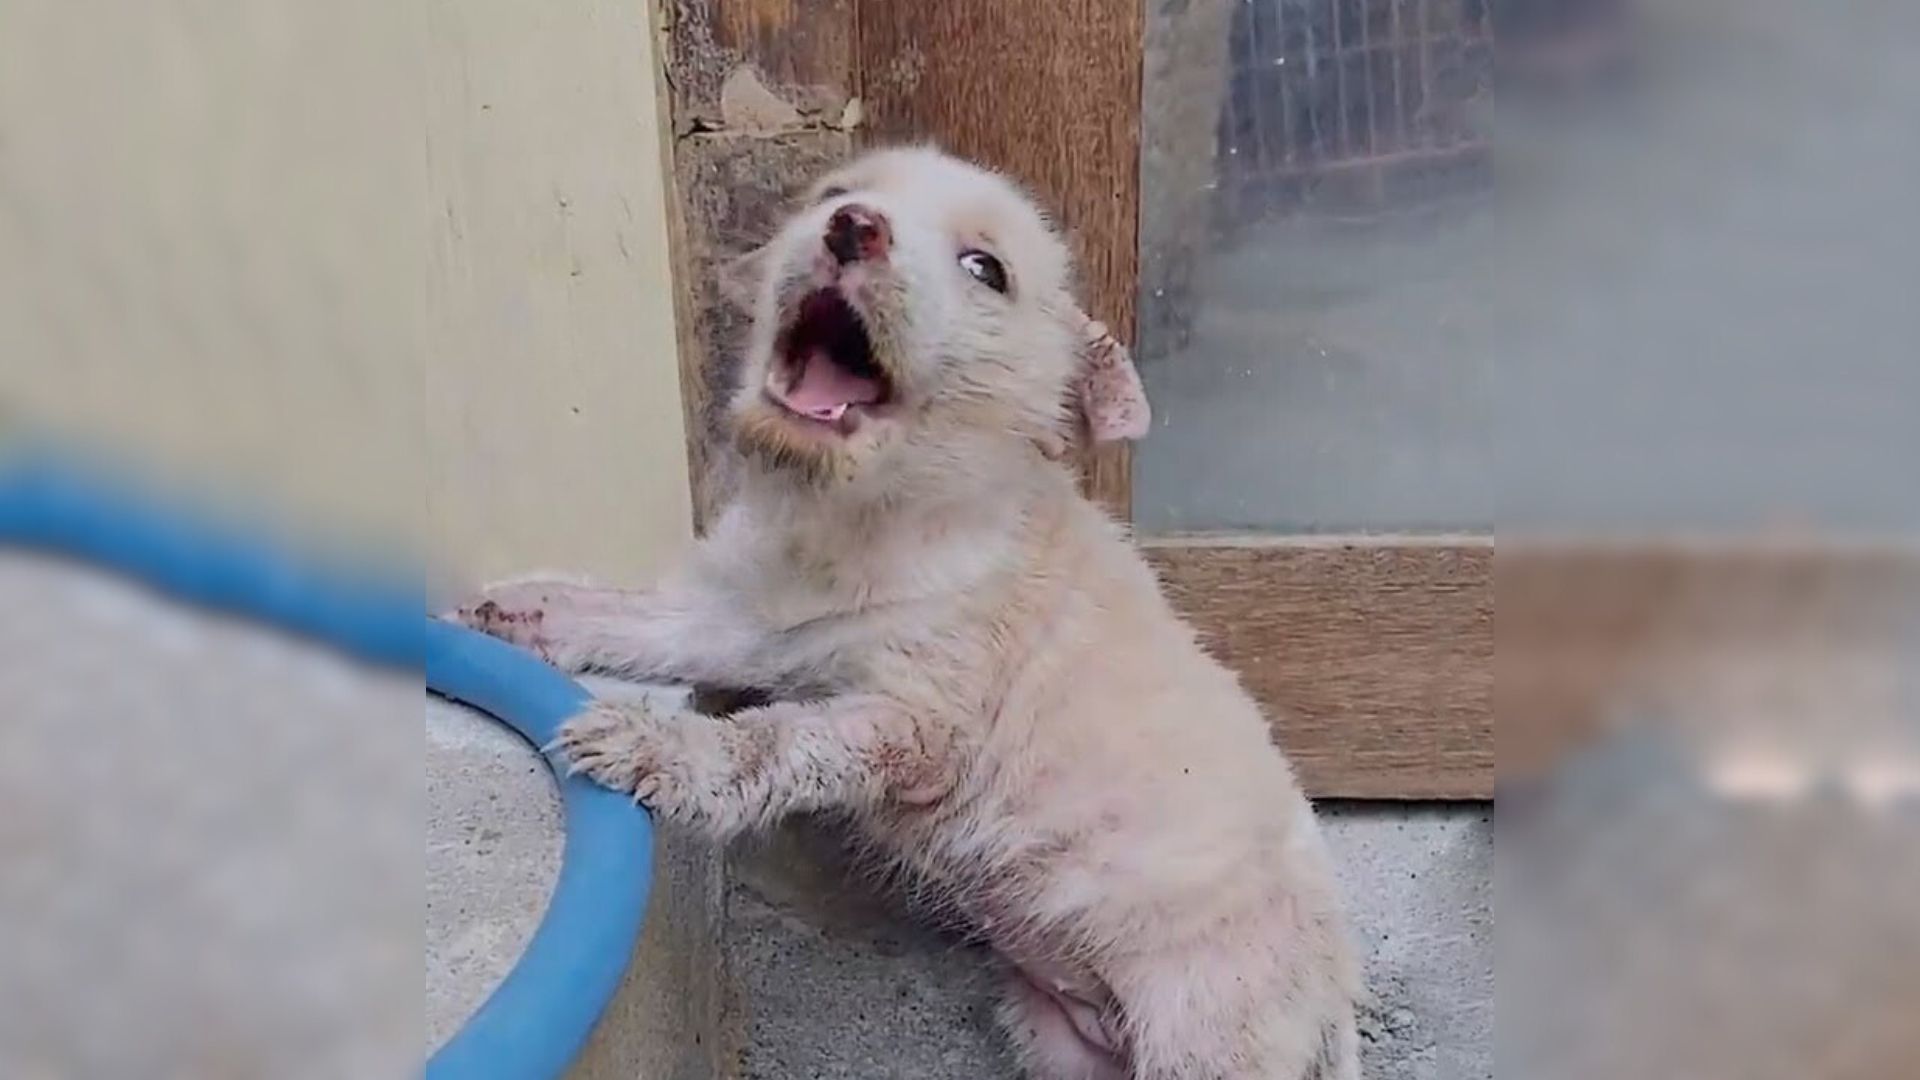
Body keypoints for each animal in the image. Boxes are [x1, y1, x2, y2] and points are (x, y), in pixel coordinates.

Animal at [460, 147, 1367, 1068]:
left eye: (985, 268)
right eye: (834, 193)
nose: (852, 226)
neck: (860, 515)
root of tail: (1334, 1007)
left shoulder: (916, 723)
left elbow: (773, 741)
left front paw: (651, 748)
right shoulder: (748, 621)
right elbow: (646, 619)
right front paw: (527, 609)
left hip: (1207, 1028)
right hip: (1060, 1039)